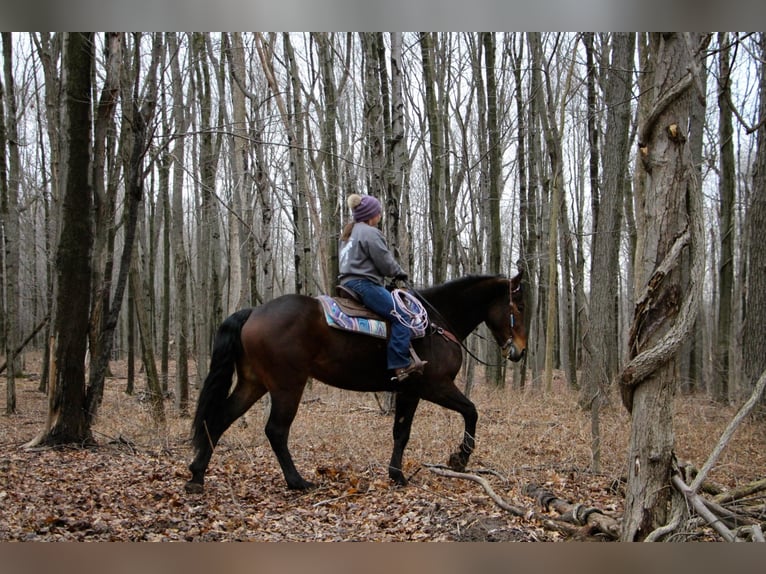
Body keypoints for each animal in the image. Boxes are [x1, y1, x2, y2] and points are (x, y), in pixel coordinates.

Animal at [184, 274, 528, 496]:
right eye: (519, 307)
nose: (520, 352)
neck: (436, 322)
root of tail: (254, 312)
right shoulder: (435, 387)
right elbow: (471, 411)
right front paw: (459, 458)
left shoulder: (408, 391)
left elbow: (401, 432)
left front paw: (397, 475)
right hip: (287, 385)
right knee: (276, 431)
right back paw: (297, 482)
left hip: (253, 383)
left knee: (220, 419)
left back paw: (197, 477)